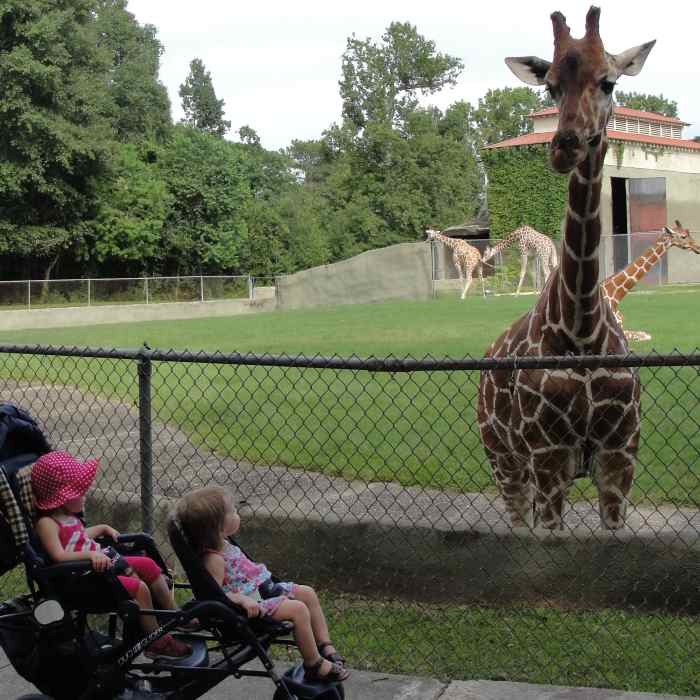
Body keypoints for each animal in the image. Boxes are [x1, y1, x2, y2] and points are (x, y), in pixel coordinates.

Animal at [477, 6, 654, 530]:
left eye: (609, 81)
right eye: (551, 86)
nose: (564, 145)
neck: (581, 329)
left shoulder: (620, 456)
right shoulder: (549, 455)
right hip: (503, 460)